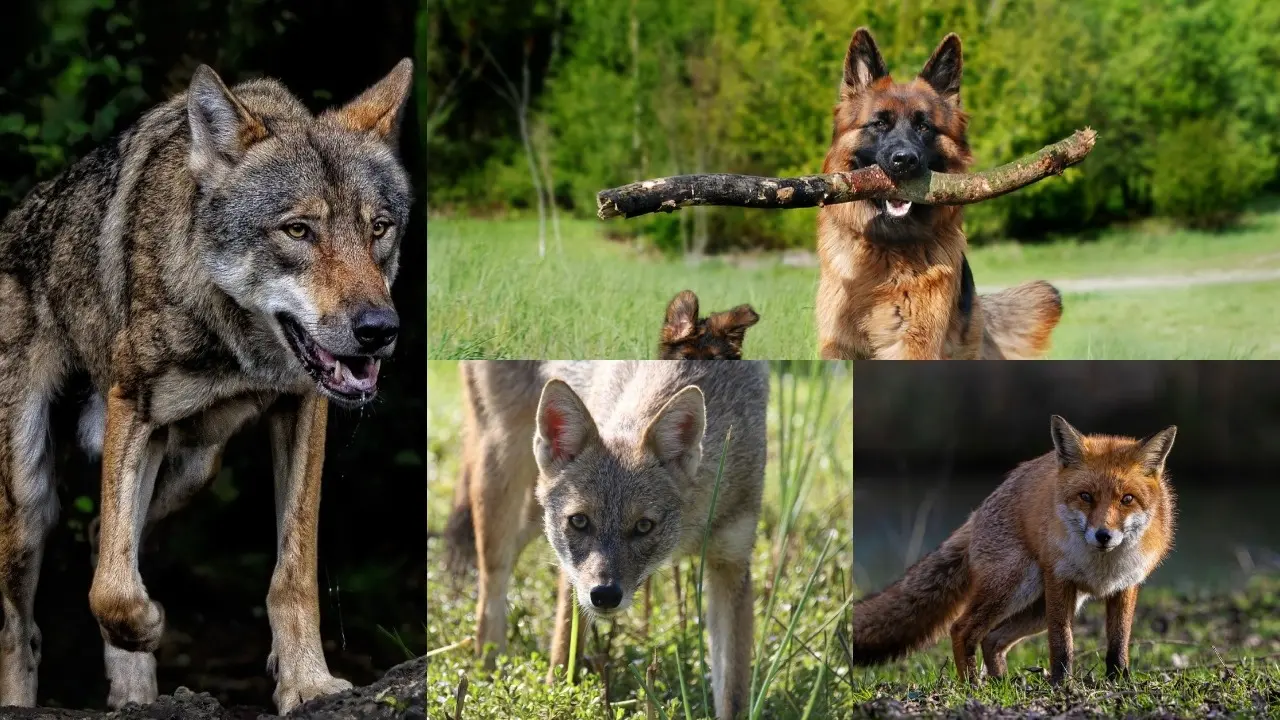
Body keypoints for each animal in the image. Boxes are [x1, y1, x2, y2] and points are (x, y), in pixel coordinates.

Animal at [0, 58, 414, 713]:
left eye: (379, 229)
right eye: (298, 230)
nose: (379, 330)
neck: (233, 342)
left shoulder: (303, 408)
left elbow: (292, 571)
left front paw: (306, 682)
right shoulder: (131, 407)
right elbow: (111, 591)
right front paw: (147, 622)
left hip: (194, 467)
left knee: (101, 537)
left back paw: (136, 695)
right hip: (29, 497)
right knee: (25, 623)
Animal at [444, 360, 768, 719]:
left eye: (643, 526)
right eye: (580, 521)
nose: (605, 596)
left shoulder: (731, 565)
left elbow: (733, 696)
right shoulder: (573, 578)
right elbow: (564, 656)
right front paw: (558, 701)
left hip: (533, 514)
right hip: (501, 474)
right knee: (490, 586)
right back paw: (488, 671)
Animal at [815, 27, 1063, 360]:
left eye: (924, 127)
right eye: (879, 123)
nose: (904, 160)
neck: (888, 250)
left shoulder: (913, 343)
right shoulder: (837, 344)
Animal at [849, 416, 1177, 685]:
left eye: (1127, 499)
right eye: (1086, 496)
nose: (1103, 536)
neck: (1102, 566)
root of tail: (977, 513)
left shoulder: (1126, 585)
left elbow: (1118, 642)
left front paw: (1119, 680)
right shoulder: (1059, 580)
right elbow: (1062, 642)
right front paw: (1062, 684)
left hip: (1038, 607)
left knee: (992, 639)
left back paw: (1001, 682)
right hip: (1017, 587)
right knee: (962, 629)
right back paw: (972, 686)